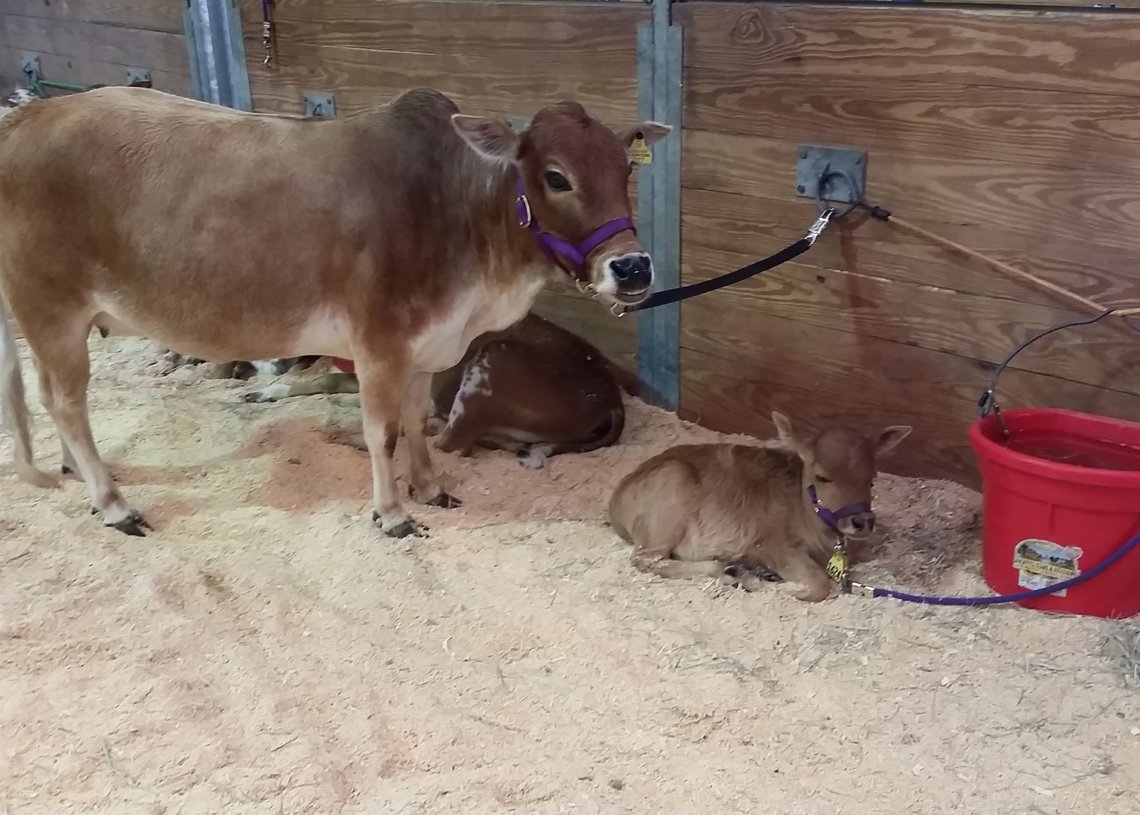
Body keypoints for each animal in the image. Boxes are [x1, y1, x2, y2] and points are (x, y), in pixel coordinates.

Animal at [607, 411, 912, 602]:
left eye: (871, 480)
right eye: (823, 476)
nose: (862, 521)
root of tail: (617, 502)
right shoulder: (770, 544)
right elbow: (818, 586)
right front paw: (755, 582)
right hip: (669, 498)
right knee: (647, 559)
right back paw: (732, 571)